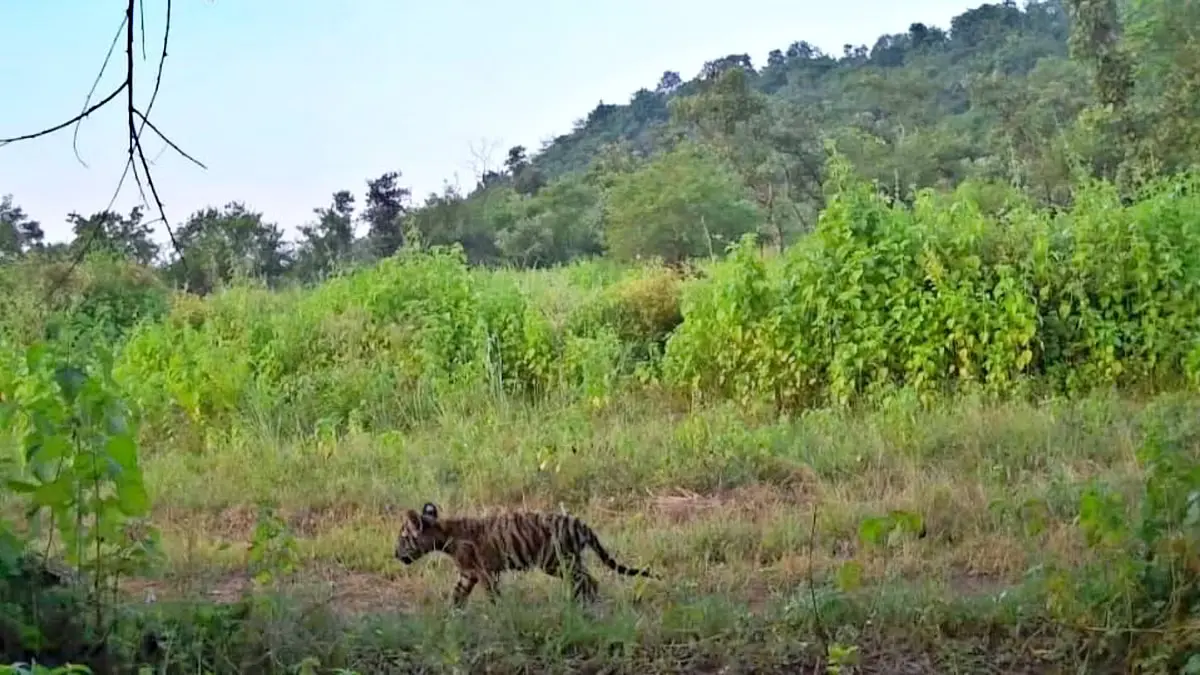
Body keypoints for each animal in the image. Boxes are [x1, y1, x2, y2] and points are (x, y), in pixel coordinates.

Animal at [393, 499, 657, 605]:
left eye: (403, 538)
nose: (395, 554)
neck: (444, 535)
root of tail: (580, 523)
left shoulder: (485, 572)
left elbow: (493, 596)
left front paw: (498, 613)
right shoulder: (467, 574)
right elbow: (457, 596)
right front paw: (451, 618)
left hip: (556, 561)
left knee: (588, 580)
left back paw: (582, 605)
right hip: (567, 561)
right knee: (586, 580)